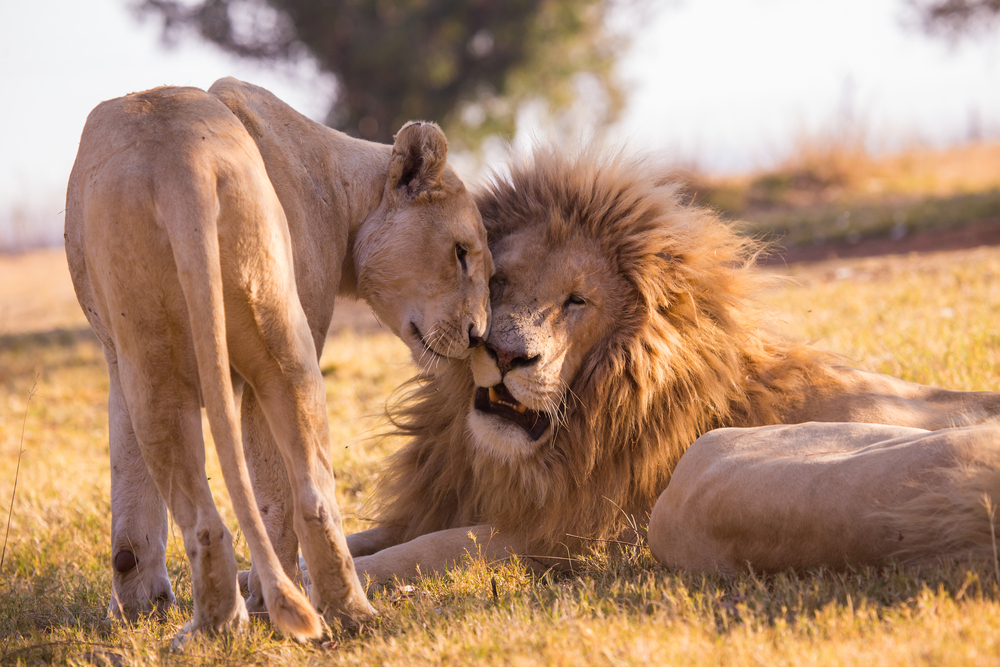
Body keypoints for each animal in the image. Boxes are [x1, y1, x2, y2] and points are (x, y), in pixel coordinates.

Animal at [64, 79, 490, 640]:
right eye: (461, 253)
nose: (479, 334)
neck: (343, 186)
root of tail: (183, 165)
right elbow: (139, 498)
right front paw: (142, 609)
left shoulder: (123, 362)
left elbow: (137, 494)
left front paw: (138, 610)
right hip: (278, 343)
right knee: (307, 498)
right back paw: (329, 614)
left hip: (167, 360)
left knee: (219, 516)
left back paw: (226, 623)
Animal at [334, 149, 1000, 580]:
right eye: (498, 281)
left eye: (577, 302)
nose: (504, 354)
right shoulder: (450, 497)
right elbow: (361, 537)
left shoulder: (576, 535)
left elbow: (429, 551)